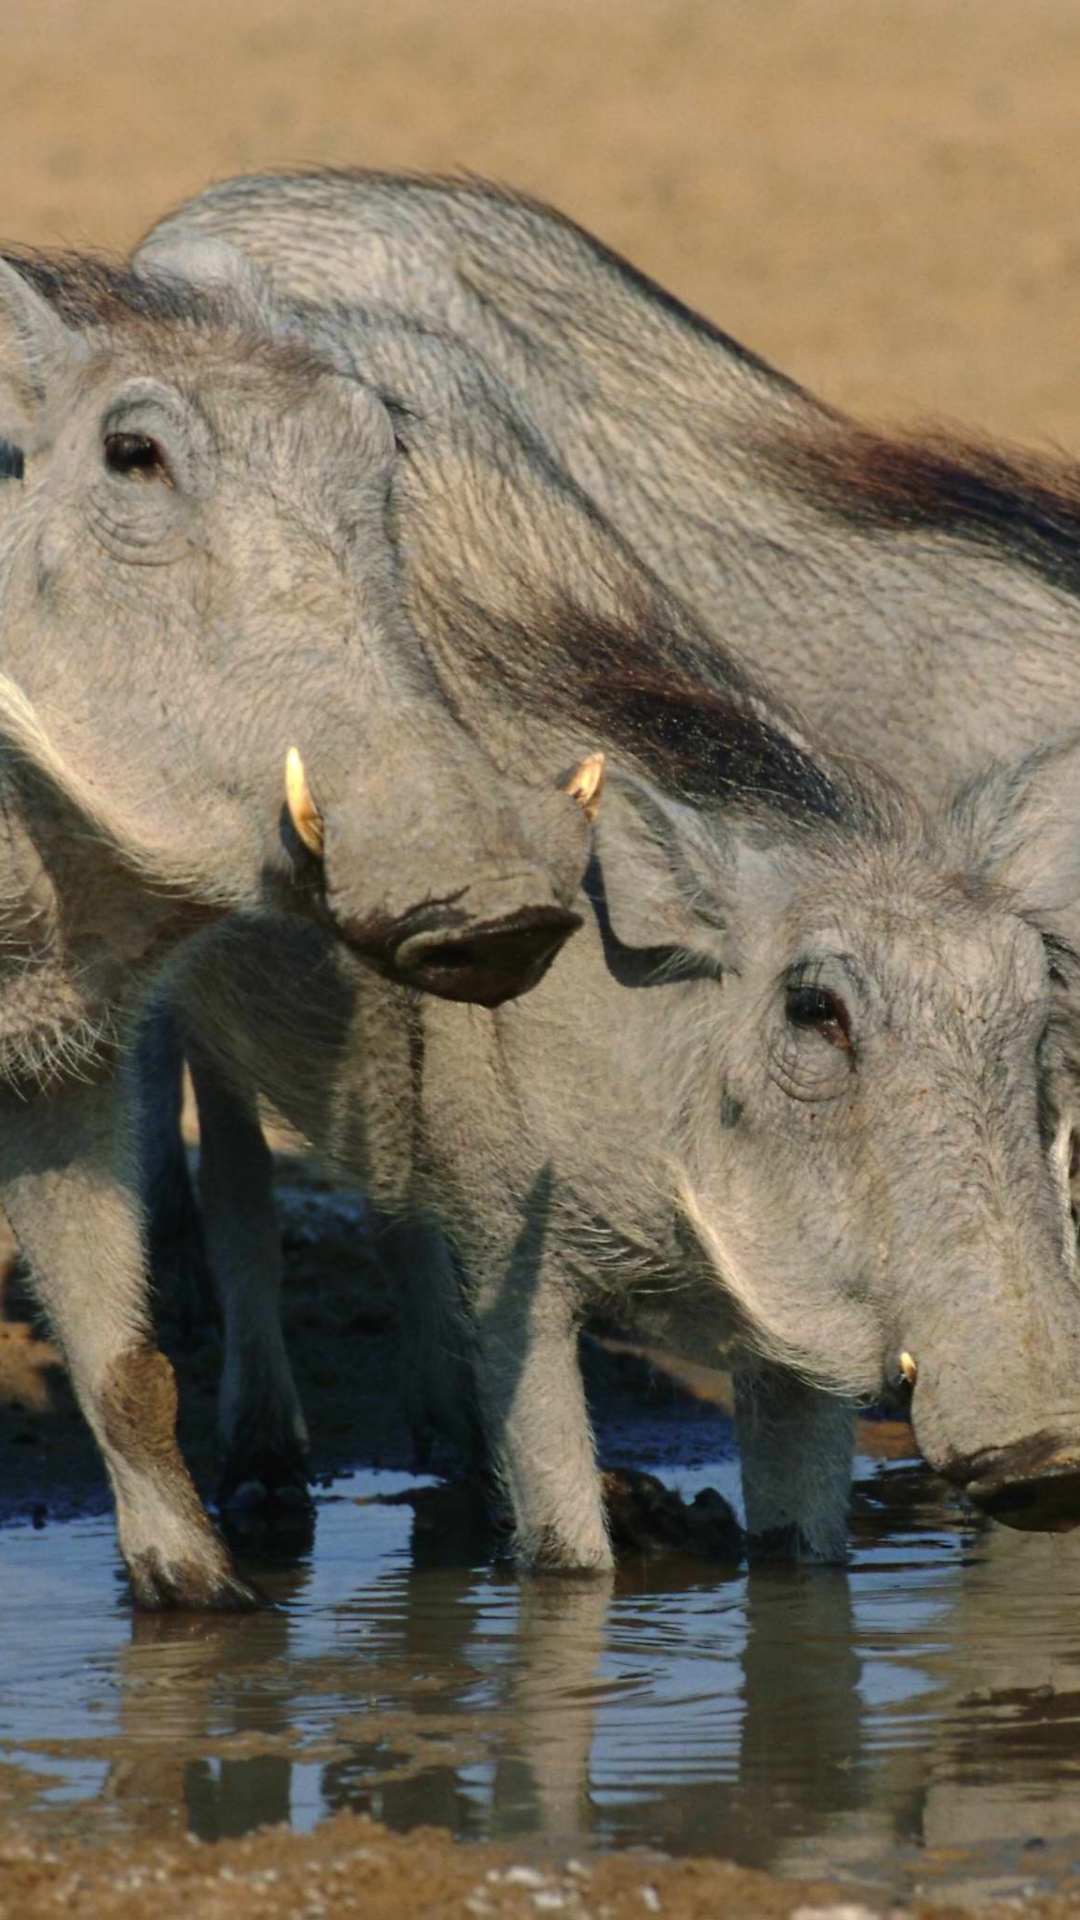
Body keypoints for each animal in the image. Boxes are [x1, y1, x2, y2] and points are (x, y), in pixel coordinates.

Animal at [0, 243, 596, 1609]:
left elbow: (126, 1365)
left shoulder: (61, 1061)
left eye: (379, 445)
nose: (497, 909)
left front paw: (202, 1602)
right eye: (132, 454)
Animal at [123, 276, 1080, 1564]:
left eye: (1040, 1008)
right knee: (235, 1181)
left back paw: (445, 1447)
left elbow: (803, 1563)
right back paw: (267, 1464)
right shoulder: (519, 1272)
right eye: (815, 1012)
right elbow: (567, 1552)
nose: (1051, 1456)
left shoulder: (792, 1313)